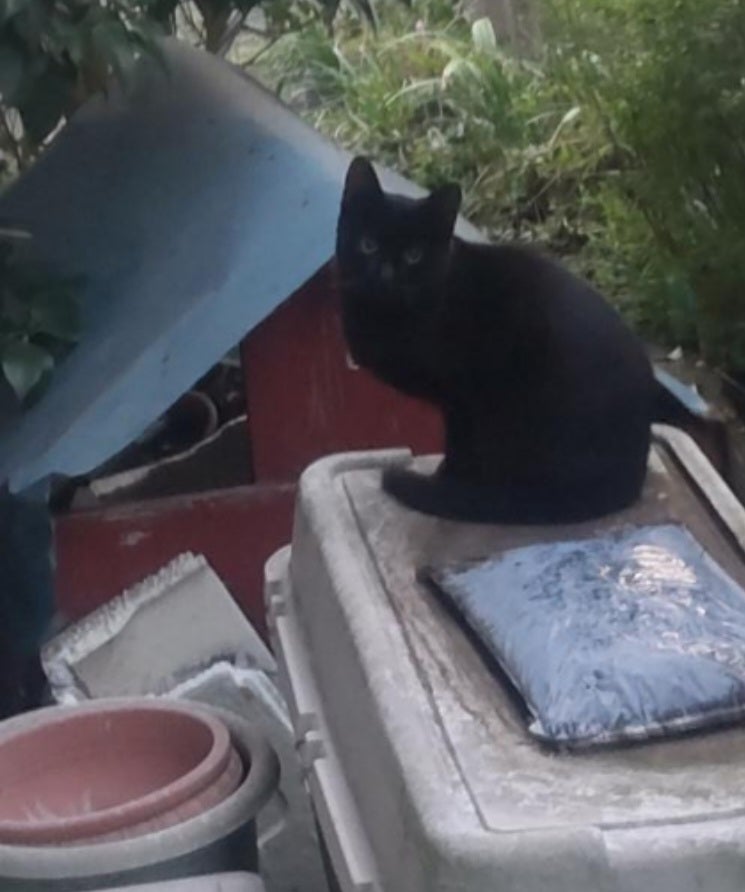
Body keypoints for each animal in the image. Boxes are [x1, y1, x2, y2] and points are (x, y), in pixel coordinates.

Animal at [335, 155, 688, 525]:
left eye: (414, 255)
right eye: (368, 245)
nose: (386, 275)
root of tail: (630, 474)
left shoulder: (462, 397)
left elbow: (459, 445)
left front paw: (447, 480)